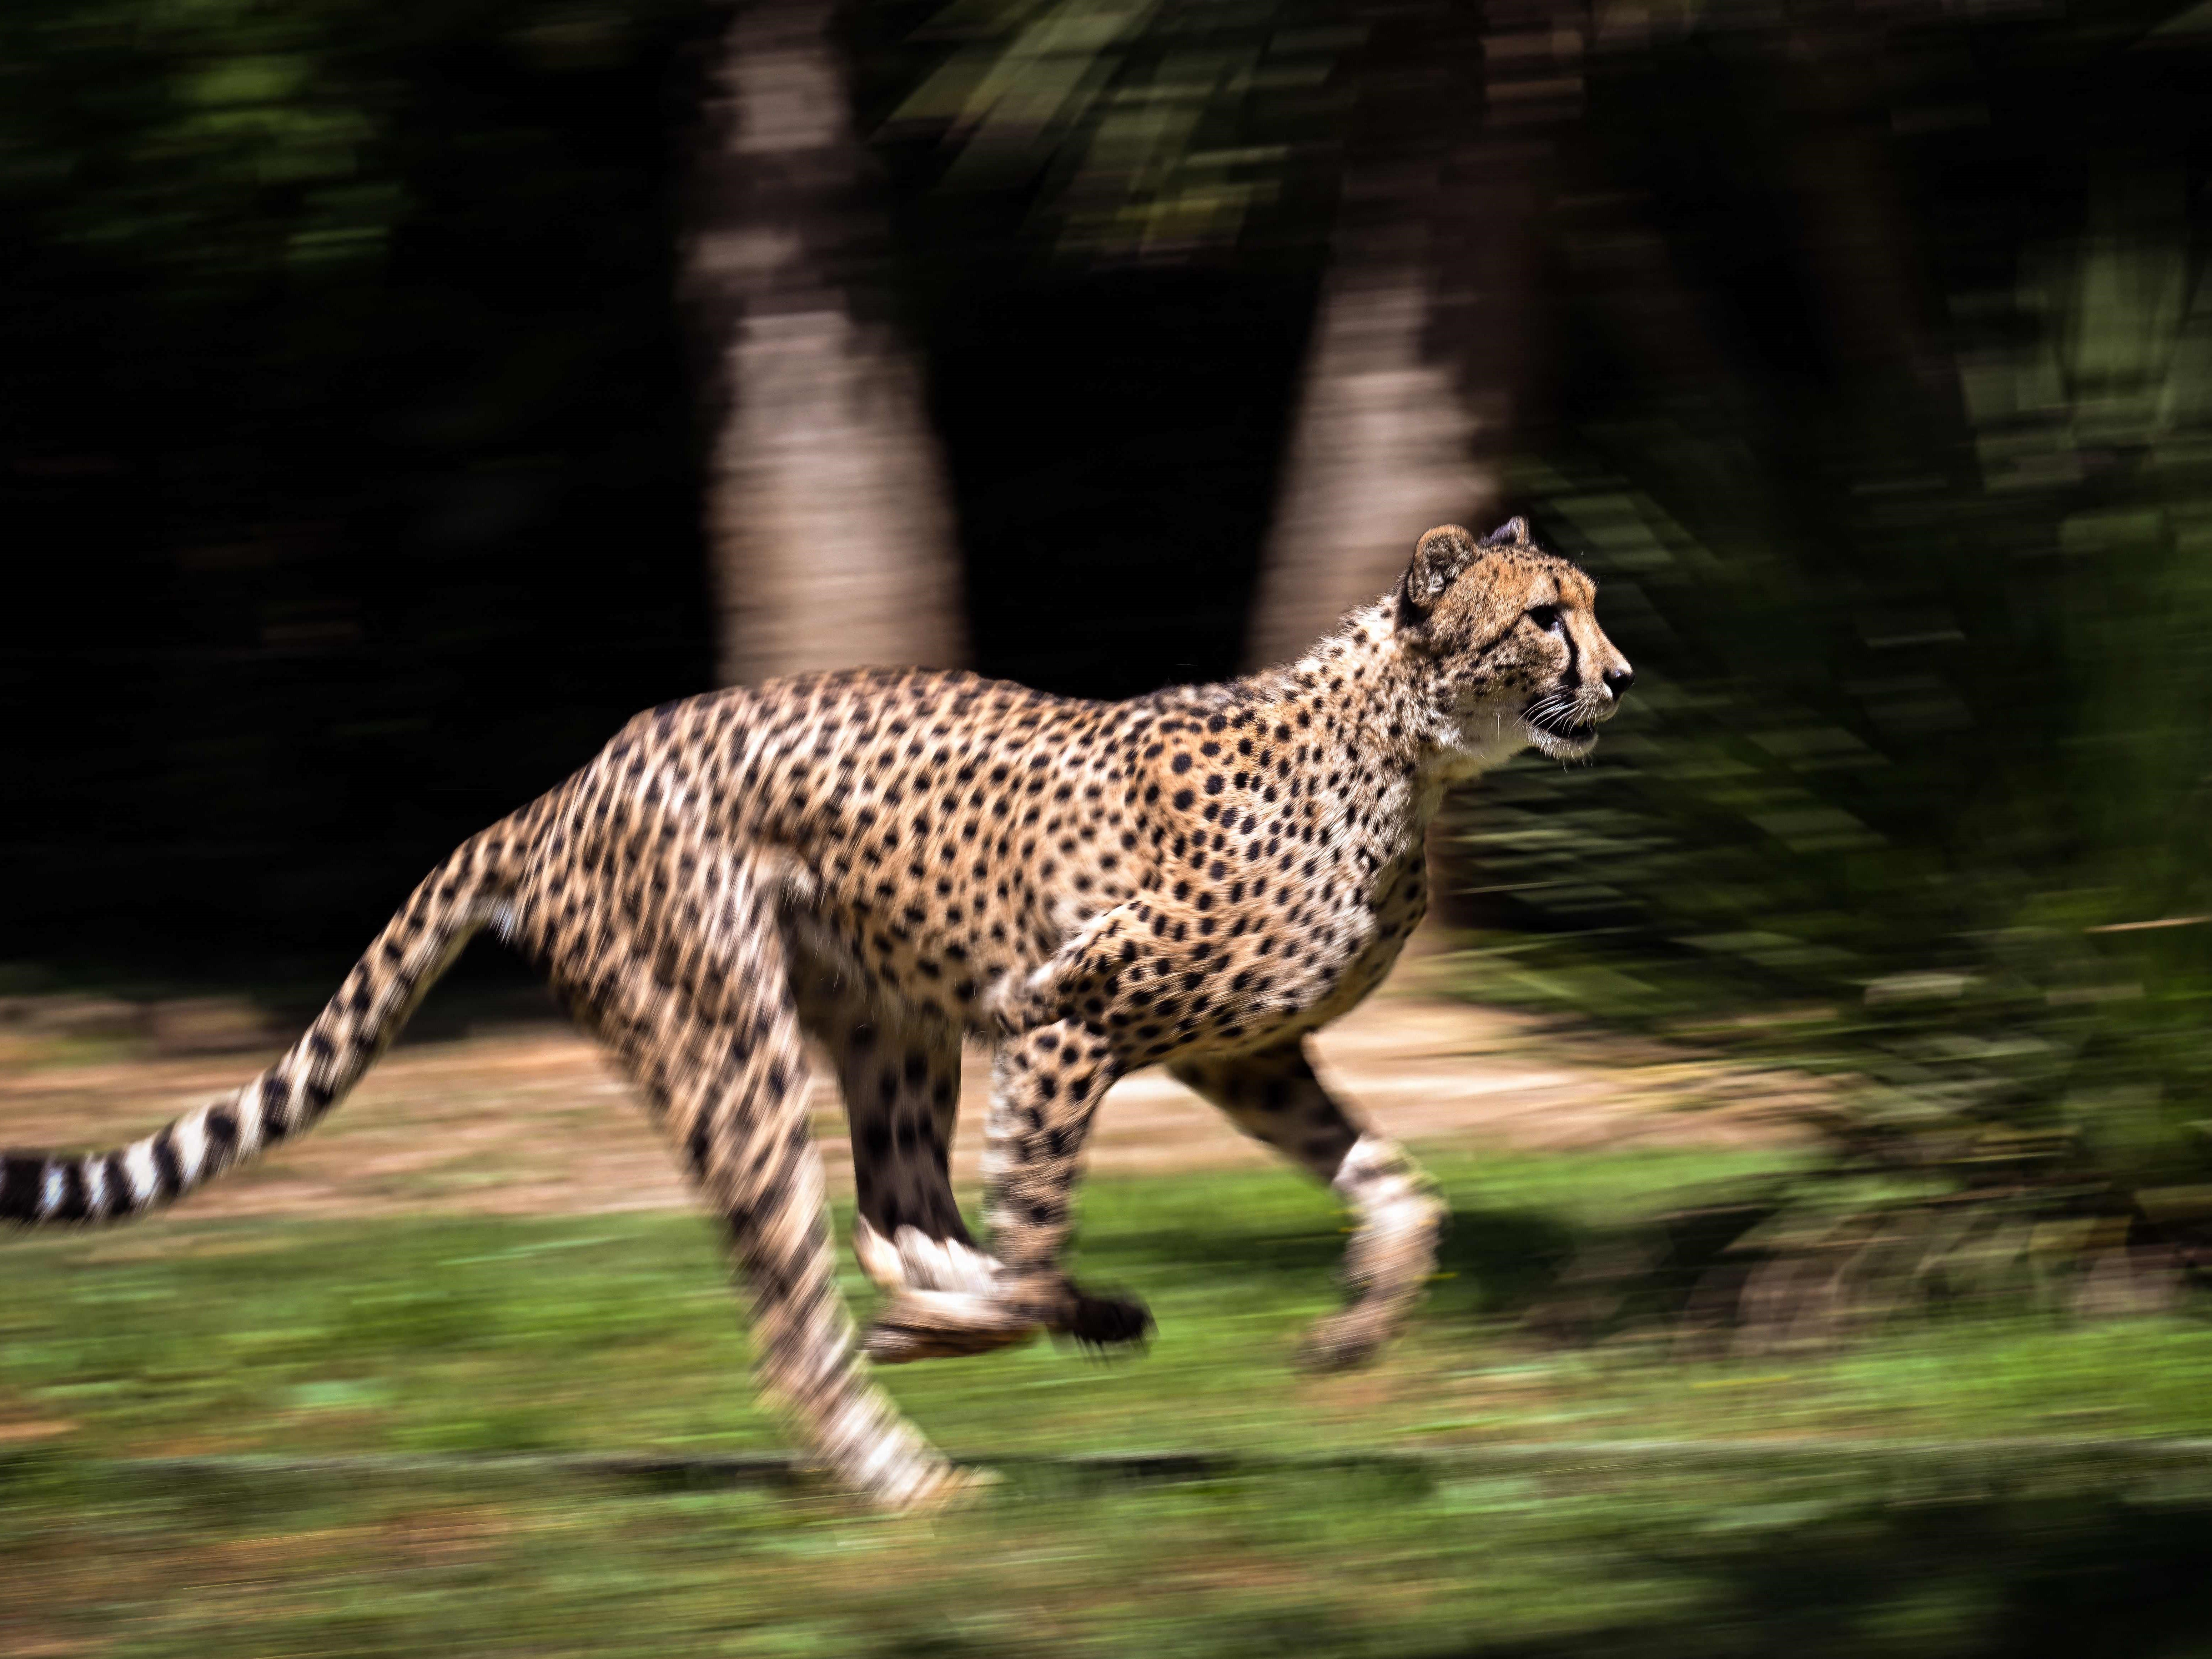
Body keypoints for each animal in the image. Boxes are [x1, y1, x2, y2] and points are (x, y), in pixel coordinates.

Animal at [2, 518, 1632, 1509]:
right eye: (1546, 617)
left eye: (1593, 609)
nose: (1620, 677)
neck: (1407, 748)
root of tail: (574, 778)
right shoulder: (1060, 1016)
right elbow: (1037, 1248)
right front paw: (1030, 1316)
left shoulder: (1242, 1053)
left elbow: (1398, 1189)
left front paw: (1358, 1326)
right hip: (738, 1051)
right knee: (808, 1300)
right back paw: (905, 1470)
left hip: (892, 1025)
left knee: (890, 1215)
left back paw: (964, 1329)